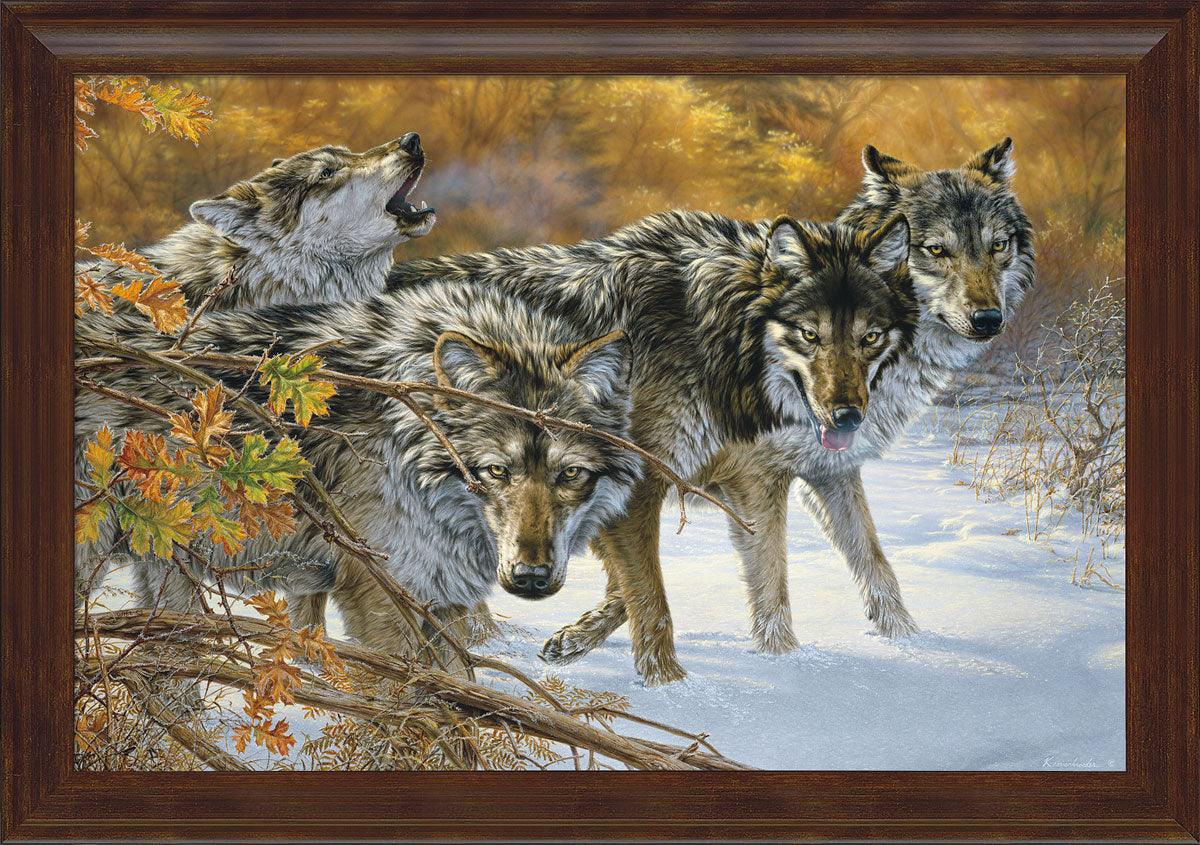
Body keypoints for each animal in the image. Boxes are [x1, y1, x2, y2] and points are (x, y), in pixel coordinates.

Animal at [386, 211, 915, 683]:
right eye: (810, 335)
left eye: (870, 337)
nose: (848, 416)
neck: (714, 338)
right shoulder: (650, 484)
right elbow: (658, 594)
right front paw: (670, 684)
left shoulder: (789, 476)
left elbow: (867, 563)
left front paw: (905, 642)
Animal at [535, 139, 1037, 671]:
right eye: (937, 250)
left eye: (997, 245)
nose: (988, 319)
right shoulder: (748, 481)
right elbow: (766, 582)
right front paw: (782, 663)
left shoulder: (830, 471)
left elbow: (875, 565)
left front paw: (910, 644)